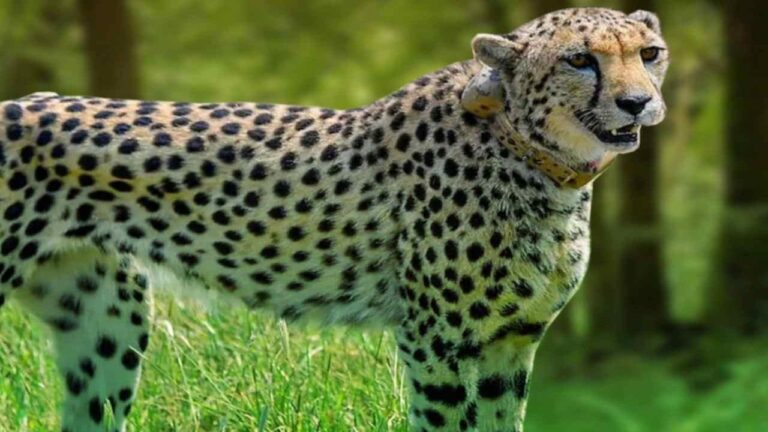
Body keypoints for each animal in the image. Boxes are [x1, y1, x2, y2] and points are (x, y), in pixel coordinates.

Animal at [0, 7, 668, 432]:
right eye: (580, 60)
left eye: (649, 53)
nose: (638, 102)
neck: (538, 156)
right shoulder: (438, 341)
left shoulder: (511, 342)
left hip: (106, 322)